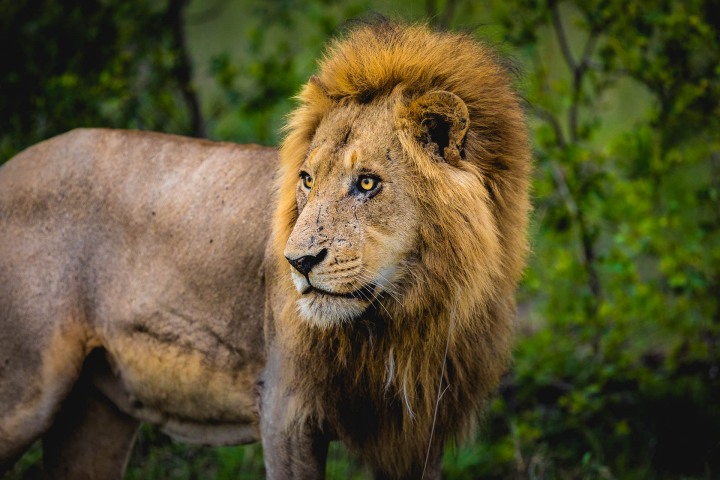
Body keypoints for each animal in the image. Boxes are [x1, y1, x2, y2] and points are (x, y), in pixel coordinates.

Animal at [0, 20, 529, 480]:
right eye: (308, 179)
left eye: (367, 183)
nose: (298, 262)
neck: (406, 315)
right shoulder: (285, 410)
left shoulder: (419, 432)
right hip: (25, 393)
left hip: (94, 411)